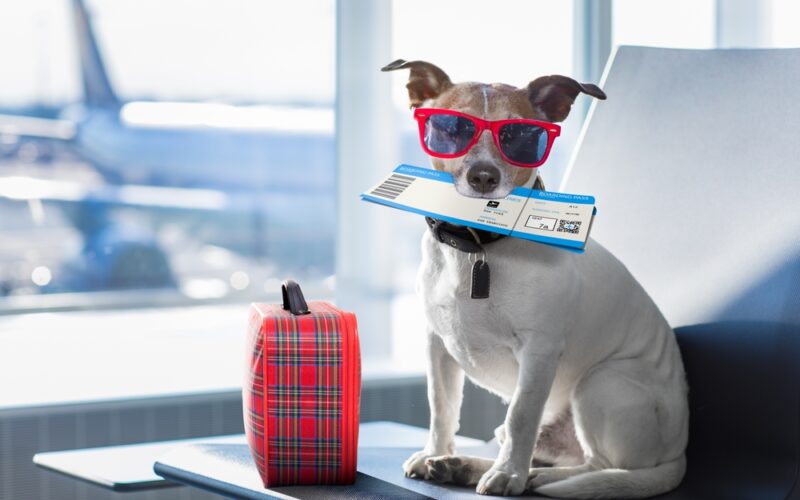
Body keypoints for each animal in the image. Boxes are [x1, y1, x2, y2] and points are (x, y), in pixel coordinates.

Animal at [382, 60, 688, 498]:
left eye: (522, 135)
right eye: (451, 128)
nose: (483, 176)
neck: (477, 247)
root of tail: (679, 453)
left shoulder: (538, 352)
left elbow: (521, 415)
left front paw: (509, 475)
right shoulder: (436, 346)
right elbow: (441, 407)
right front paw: (434, 453)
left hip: (602, 382)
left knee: (597, 465)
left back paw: (532, 477)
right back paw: (462, 465)